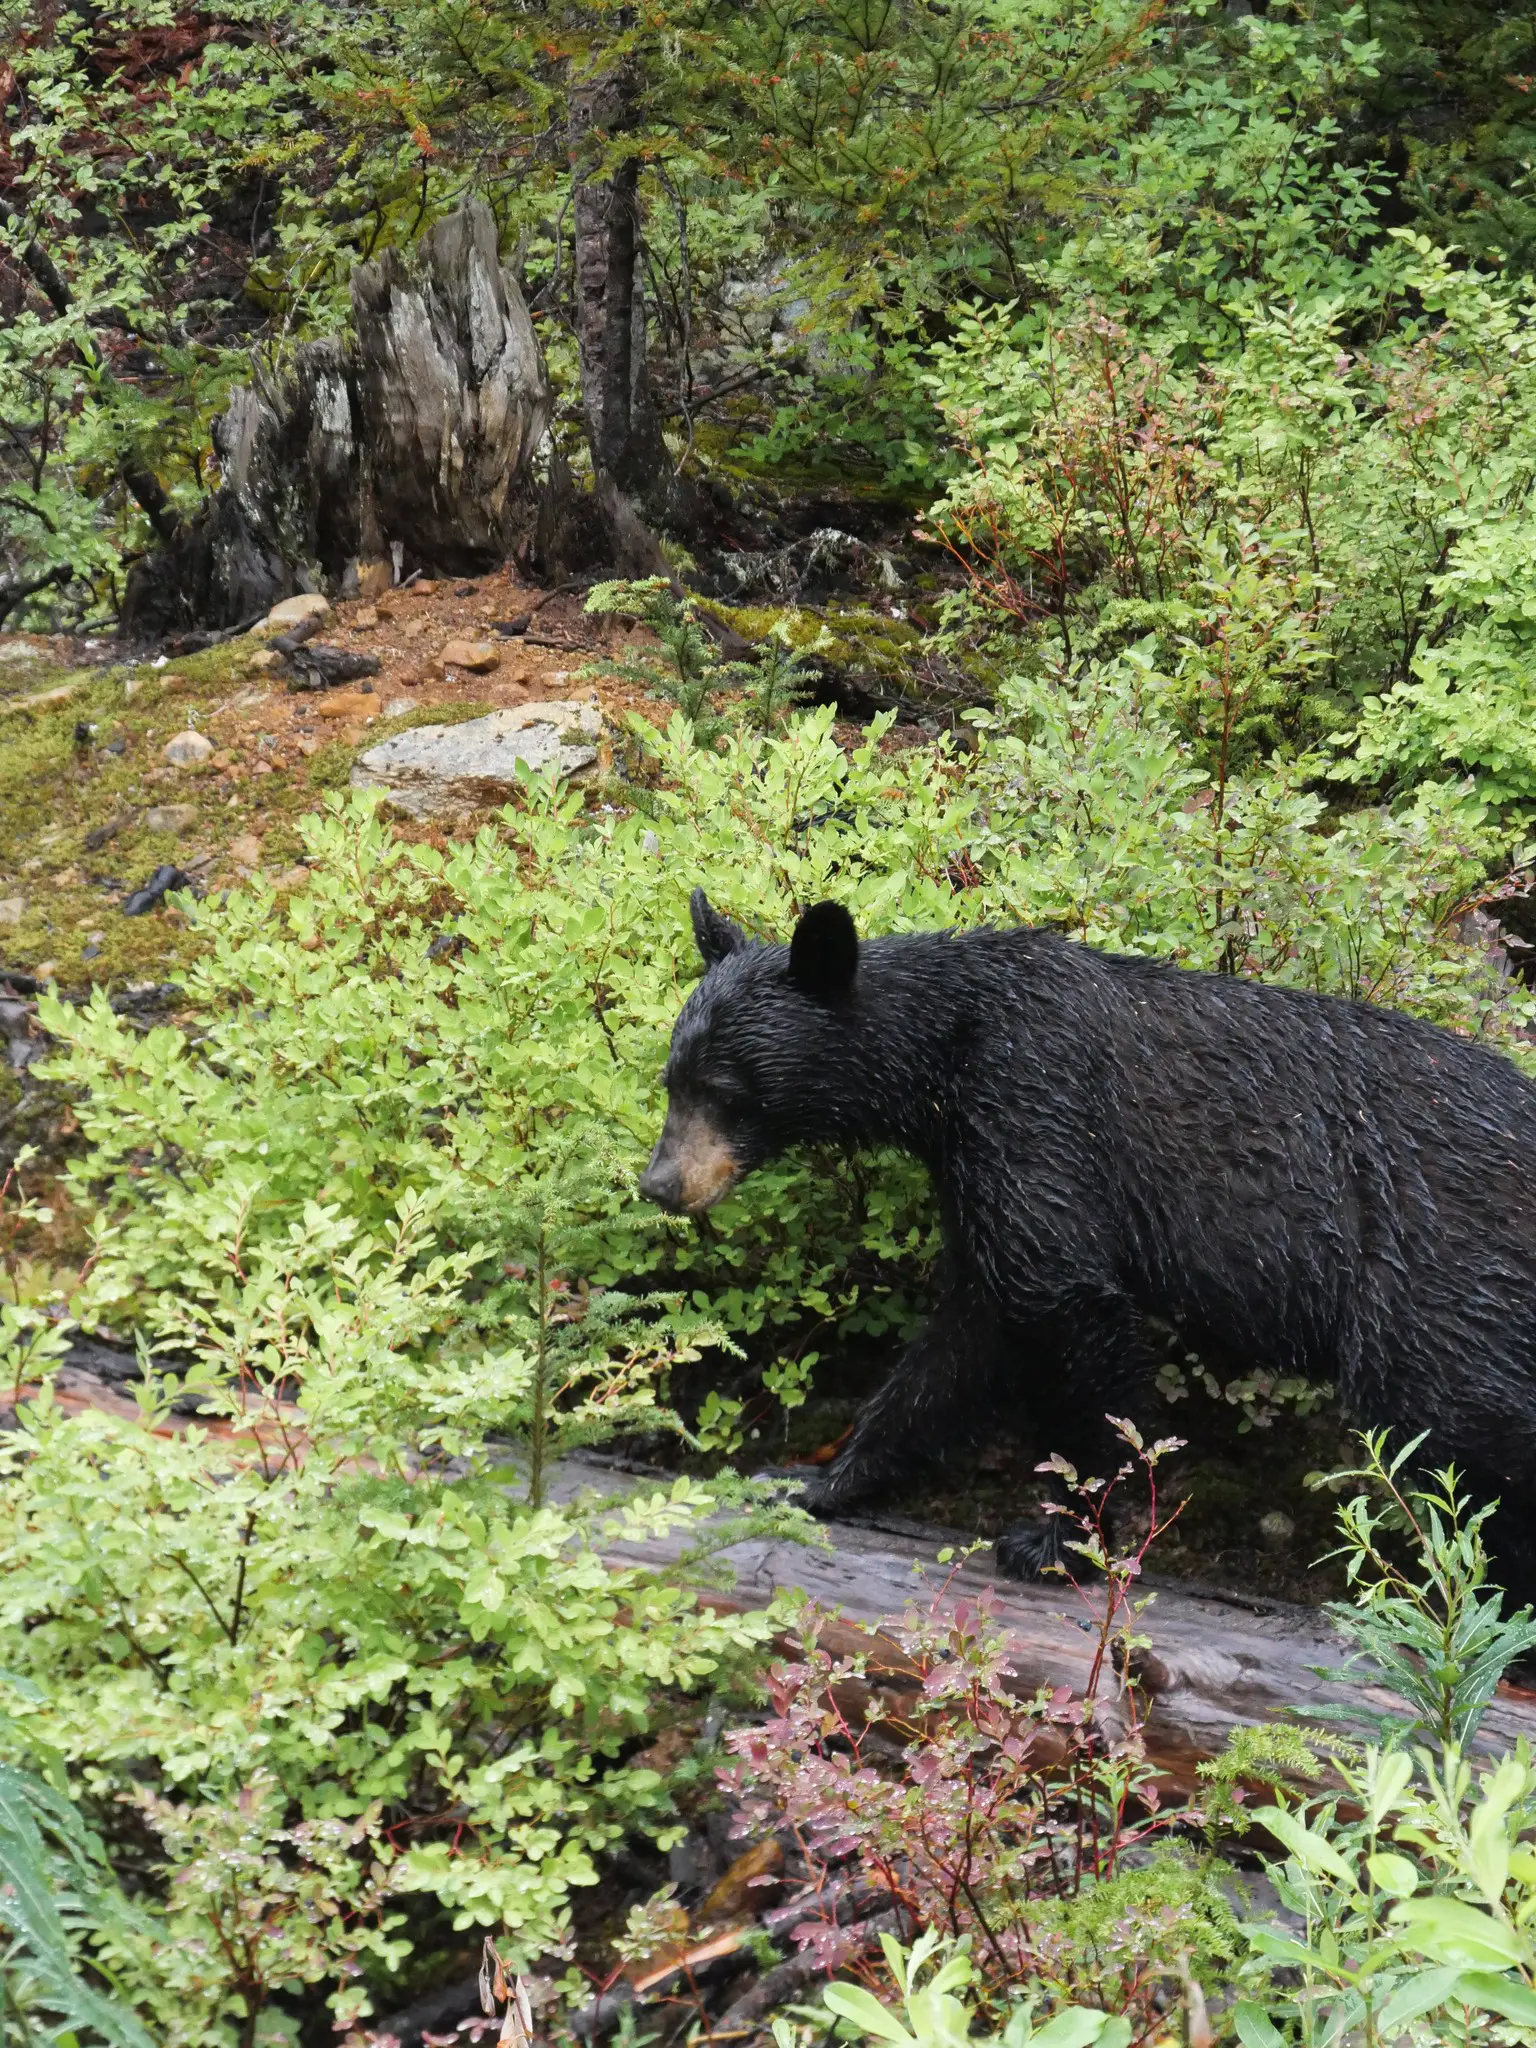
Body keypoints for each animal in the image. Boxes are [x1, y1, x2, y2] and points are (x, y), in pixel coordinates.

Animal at [639, 888, 1536, 1596]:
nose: (659, 1184)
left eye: (726, 1091)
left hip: (1445, 1280)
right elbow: (965, 1335)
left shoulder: (1037, 1103)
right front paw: (814, 1479)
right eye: (672, 1080)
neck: (951, 1047)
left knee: (1473, 1431)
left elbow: (1066, 1307)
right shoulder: (974, 1158)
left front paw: (1058, 1538)